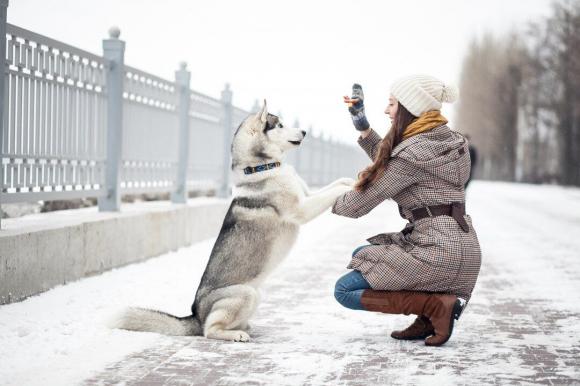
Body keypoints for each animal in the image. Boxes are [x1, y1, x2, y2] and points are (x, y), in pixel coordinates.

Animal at [110, 99, 352, 340]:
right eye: (280, 125)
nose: (304, 132)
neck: (261, 168)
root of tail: (195, 314)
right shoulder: (302, 208)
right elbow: (332, 192)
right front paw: (354, 186)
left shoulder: (308, 195)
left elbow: (337, 183)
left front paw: (352, 180)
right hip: (245, 293)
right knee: (209, 331)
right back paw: (234, 335)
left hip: (256, 294)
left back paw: (244, 328)